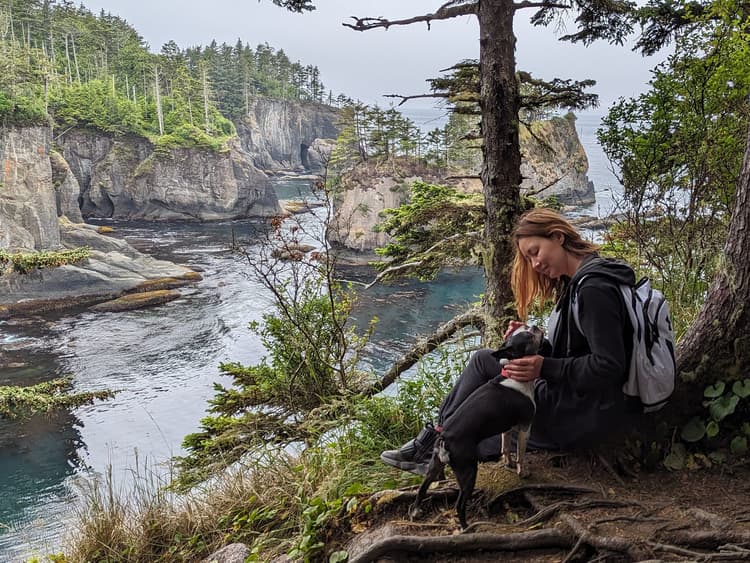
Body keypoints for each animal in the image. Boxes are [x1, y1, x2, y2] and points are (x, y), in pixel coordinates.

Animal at [414, 324, 548, 532]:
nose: (533, 325)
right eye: (528, 335)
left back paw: (416, 512)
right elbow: (521, 453)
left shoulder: (507, 426)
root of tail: (445, 437)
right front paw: (522, 471)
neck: (513, 375)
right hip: (468, 470)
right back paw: (466, 527)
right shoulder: (525, 427)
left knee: (423, 488)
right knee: (459, 504)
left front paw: (508, 463)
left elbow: (506, 446)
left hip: (435, 464)